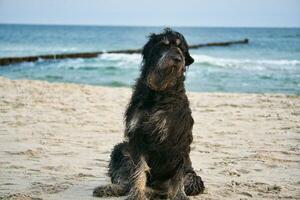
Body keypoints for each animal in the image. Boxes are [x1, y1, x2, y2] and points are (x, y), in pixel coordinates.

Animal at [93, 28, 204, 200]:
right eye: (164, 45)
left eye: (181, 49)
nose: (178, 59)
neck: (160, 91)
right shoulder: (138, 136)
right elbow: (138, 170)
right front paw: (137, 194)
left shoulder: (179, 139)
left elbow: (178, 175)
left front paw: (179, 195)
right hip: (121, 150)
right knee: (127, 180)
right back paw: (111, 188)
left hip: (193, 177)